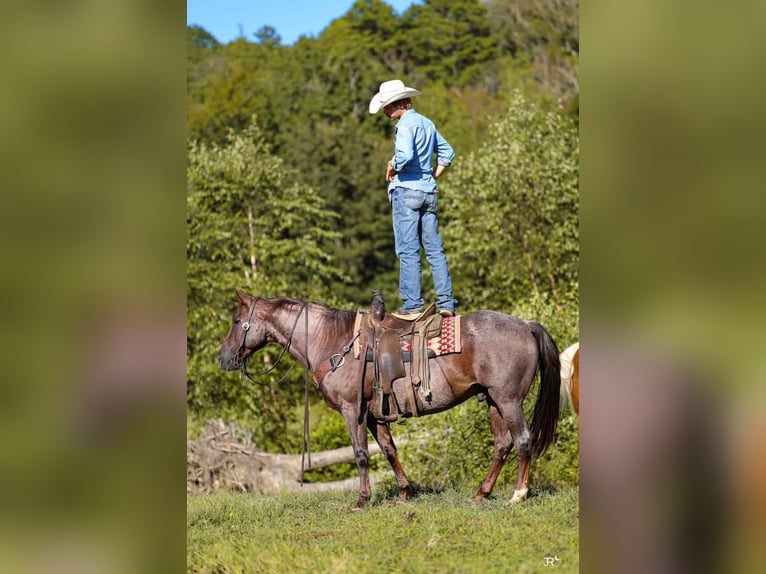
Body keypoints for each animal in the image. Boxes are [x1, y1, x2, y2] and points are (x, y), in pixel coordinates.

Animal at [218, 291, 562, 510]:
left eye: (236, 321)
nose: (223, 358)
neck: (332, 341)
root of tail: (527, 325)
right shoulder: (374, 415)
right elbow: (388, 450)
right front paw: (404, 493)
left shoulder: (352, 410)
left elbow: (360, 454)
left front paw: (361, 500)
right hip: (492, 400)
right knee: (502, 444)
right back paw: (482, 493)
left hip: (508, 400)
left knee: (523, 440)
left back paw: (518, 494)